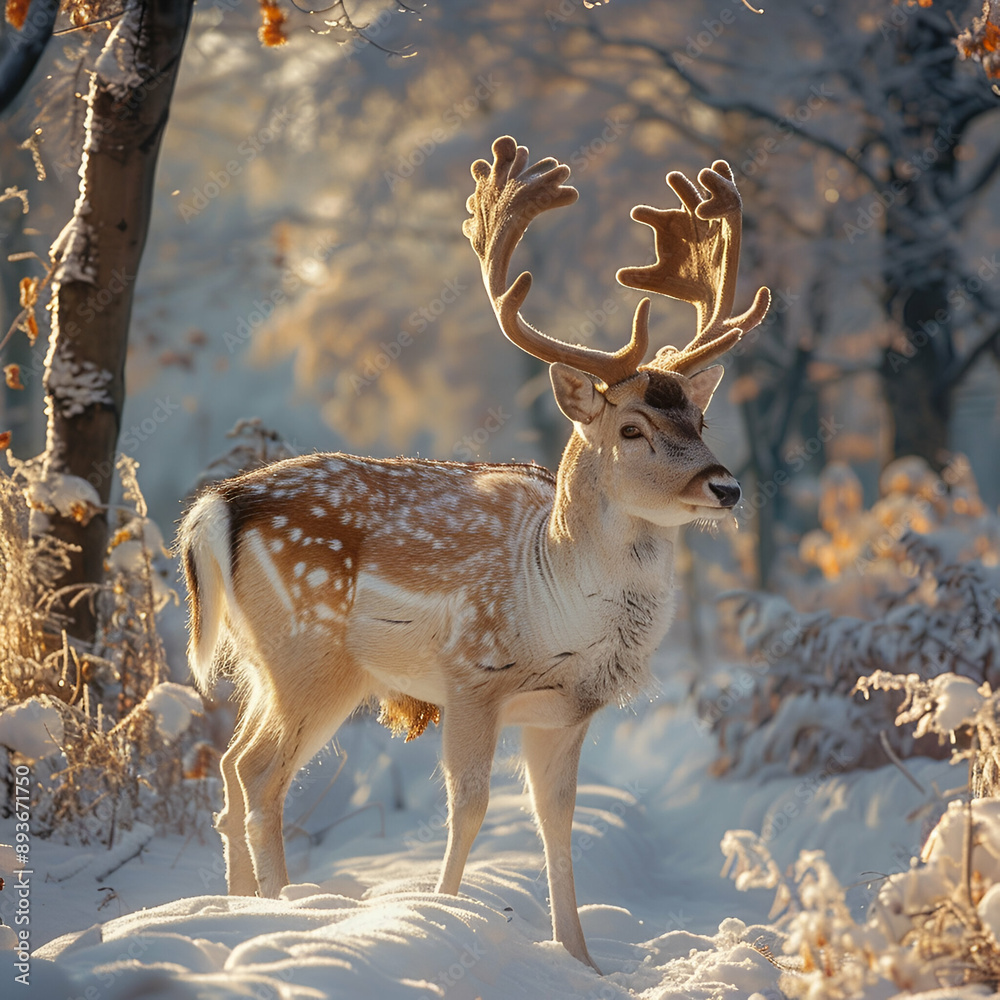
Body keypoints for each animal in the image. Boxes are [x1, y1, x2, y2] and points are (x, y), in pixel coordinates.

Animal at [178, 135, 770, 973]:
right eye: (631, 428)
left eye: (700, 417)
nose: (725, 486)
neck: (555, 598)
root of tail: (218, 505)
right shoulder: (471, 675)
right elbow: (470, 805)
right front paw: (442, 915)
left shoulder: (567, 709)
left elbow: (556, 819)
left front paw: (581, 959)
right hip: (311, 653)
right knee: (262, 776)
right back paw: (282, 908)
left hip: (272, 660)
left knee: (232, 765)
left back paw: (241, 908)